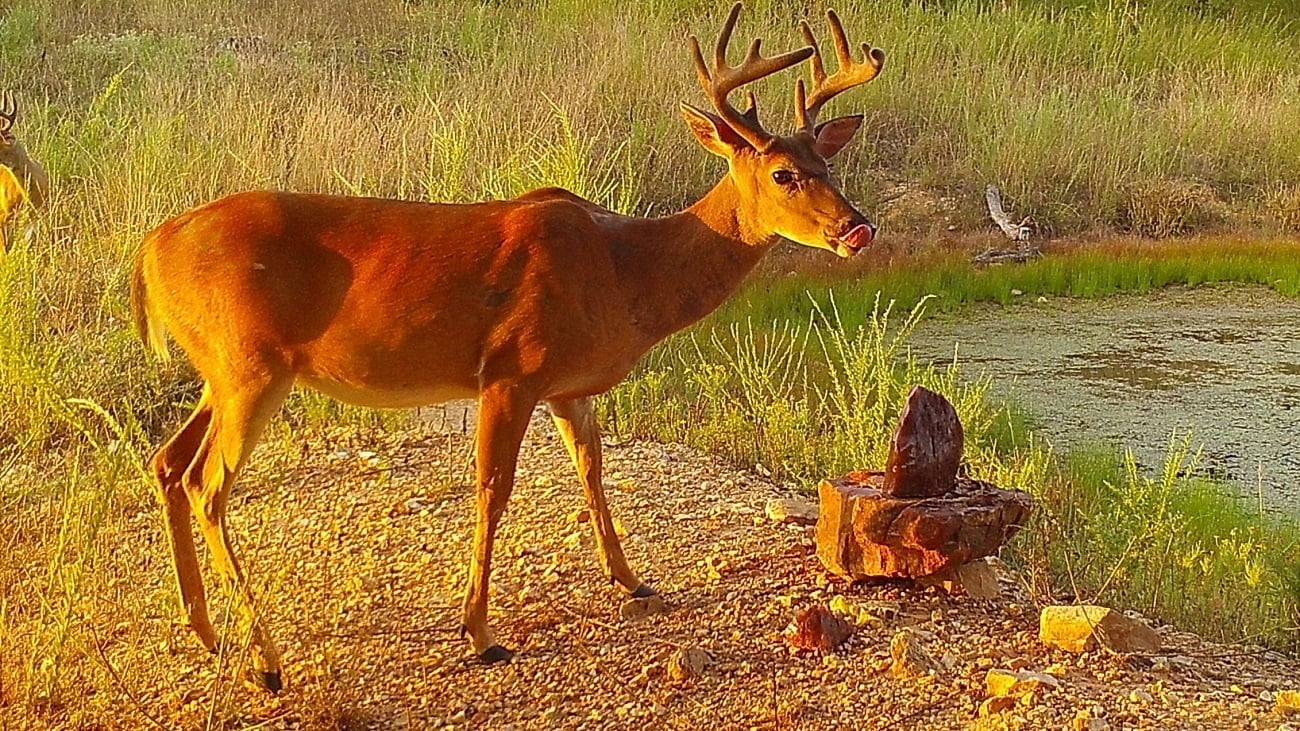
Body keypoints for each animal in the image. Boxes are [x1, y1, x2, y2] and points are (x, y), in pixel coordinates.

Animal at [129, 2, 883, 686]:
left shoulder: (568, 386)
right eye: (784, 174)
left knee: (167, 462)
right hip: (251, 364)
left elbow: (594, 472)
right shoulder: (512, 368)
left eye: (828, 164)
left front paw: (633, 579)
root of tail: (151, 247)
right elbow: (494, 488)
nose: (859, 228)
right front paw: (480, 632)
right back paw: (266, 661)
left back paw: (206, 633)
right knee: (206, 484)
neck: (624, 272)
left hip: (222, 369)